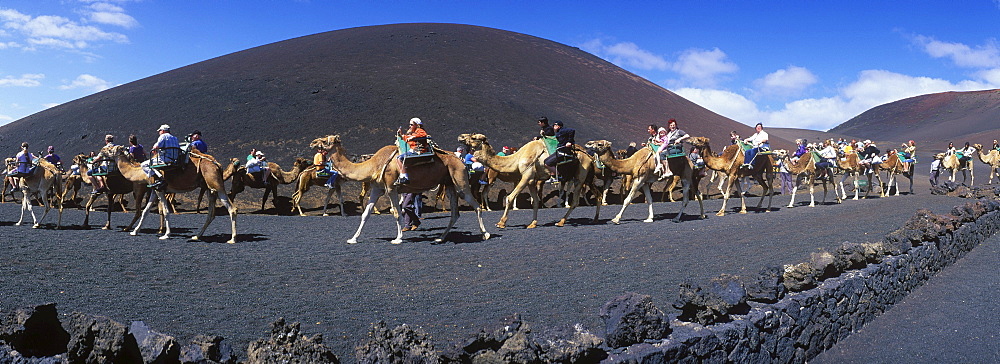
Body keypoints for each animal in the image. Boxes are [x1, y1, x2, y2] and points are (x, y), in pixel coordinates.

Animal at [308, 131, 488, 245]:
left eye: (324, 140)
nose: (312, 142)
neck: (373, 164)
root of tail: (460, 160)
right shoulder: (377, 188)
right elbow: (366, 214)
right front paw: (353, 239)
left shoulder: (391, 188)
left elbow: (396, 212)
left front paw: (398, 238)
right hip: (449, 183)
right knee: (455, 213)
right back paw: (440, 238)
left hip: (460, 180)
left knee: (475, 205)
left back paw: (485, 234)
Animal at [458, 134, 600, 229]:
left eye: (474, 137)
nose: (460, 136)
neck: (517, 158)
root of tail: (589, 157)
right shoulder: (532, 180)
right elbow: (535, 202)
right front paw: (532, 223)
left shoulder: (526, 175)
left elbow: (510, 197)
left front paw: (501, 223)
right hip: (587, 178)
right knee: (597, 194)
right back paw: (595, 219)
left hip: (580, 177)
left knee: (575, 201)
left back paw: (561, 221)